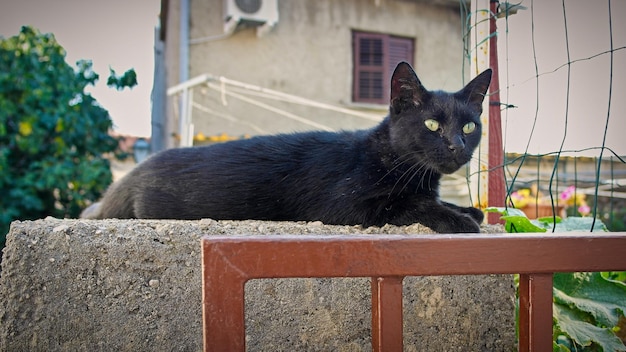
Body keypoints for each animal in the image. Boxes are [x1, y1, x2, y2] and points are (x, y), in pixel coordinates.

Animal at [84, 62, 492, 234]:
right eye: (432, 125)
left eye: (469, 126)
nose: (457, 146)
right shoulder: (346, 205)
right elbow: (411, 205)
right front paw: (459, 219)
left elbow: (431, 201)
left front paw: (466, 208)